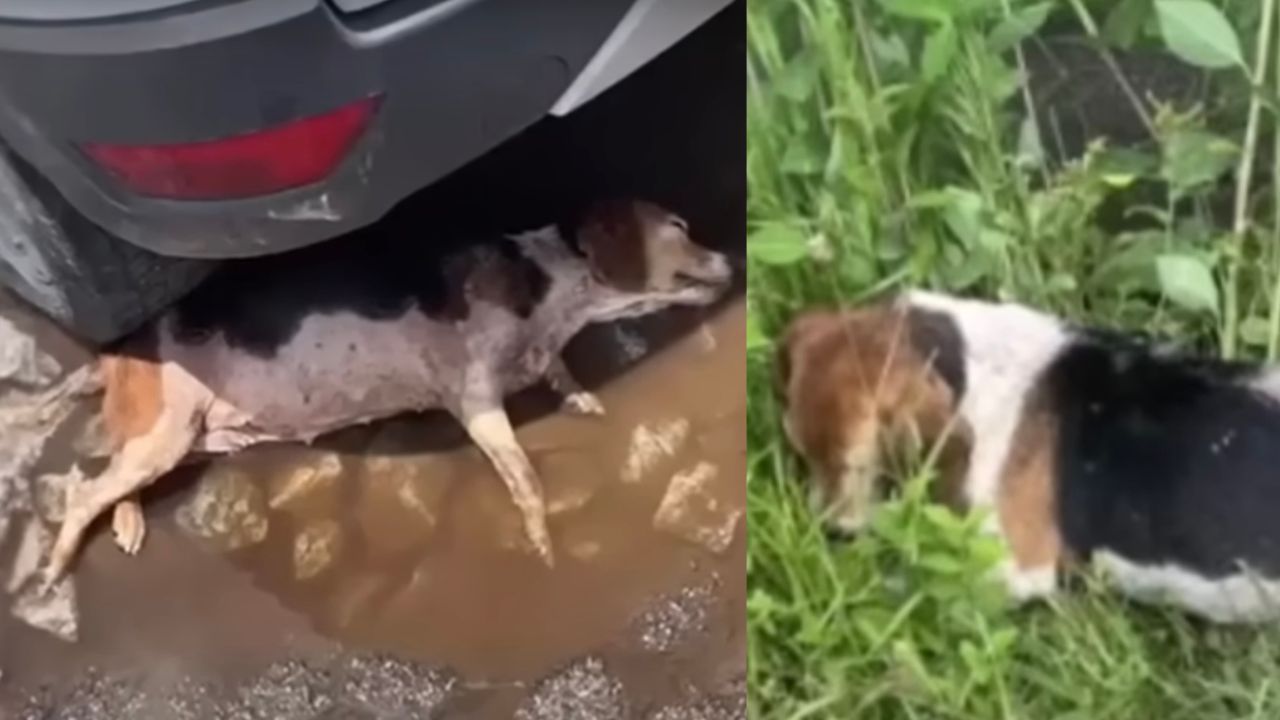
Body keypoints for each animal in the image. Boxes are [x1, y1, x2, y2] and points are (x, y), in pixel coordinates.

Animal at [42, 196, 732, 584]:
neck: (550, 288)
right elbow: (528, 481)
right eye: (679, 225)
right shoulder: (477, 402)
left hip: (193, 441)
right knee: (82, 492)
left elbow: (561, 372)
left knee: (112, 481)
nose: (731, 258)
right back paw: (55, 569)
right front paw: (542, 546)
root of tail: (115, 351)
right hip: (167, 432)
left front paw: (582, 397)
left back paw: (129, 523)